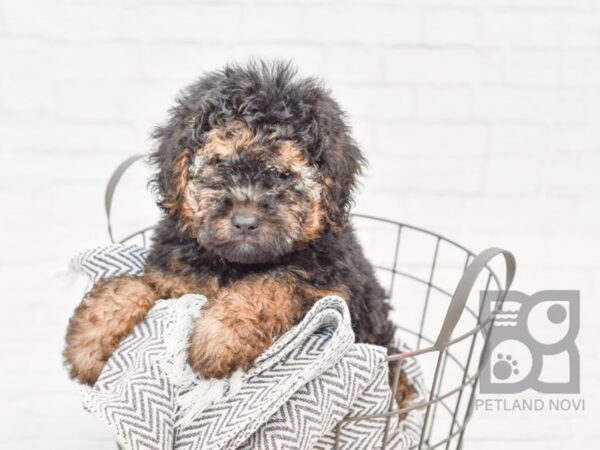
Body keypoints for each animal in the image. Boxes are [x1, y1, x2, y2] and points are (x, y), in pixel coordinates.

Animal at [64, 60, 398, 394]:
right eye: (220, 163)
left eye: (284, 174)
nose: (245, 221)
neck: (235, 265)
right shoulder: (175, 279)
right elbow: (137, 284)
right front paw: (89, 340)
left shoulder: (331, 290)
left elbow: (271, 285)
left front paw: (219, 336)